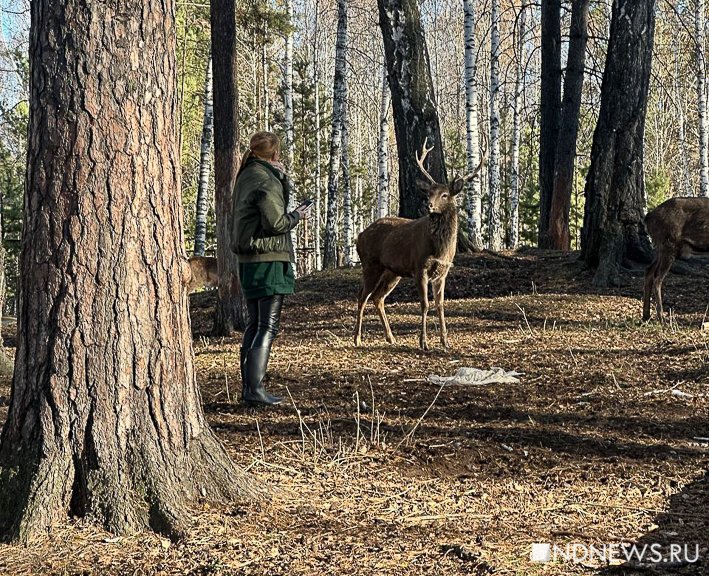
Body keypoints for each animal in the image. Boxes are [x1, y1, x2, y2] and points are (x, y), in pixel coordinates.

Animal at [354, 138, 486, 352]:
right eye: (430, 192)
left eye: (445, 195)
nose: (428, 205)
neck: (440, 249)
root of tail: (359, 235)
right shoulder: (419, 267)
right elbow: (424, 304)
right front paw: (423, 342)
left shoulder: (443, 272)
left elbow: (440, 305)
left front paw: (445, 342)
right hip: (370, 264)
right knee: (362, 296)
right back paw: (357, 338)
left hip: (392, 272)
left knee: (378, 297)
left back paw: (390, 337)